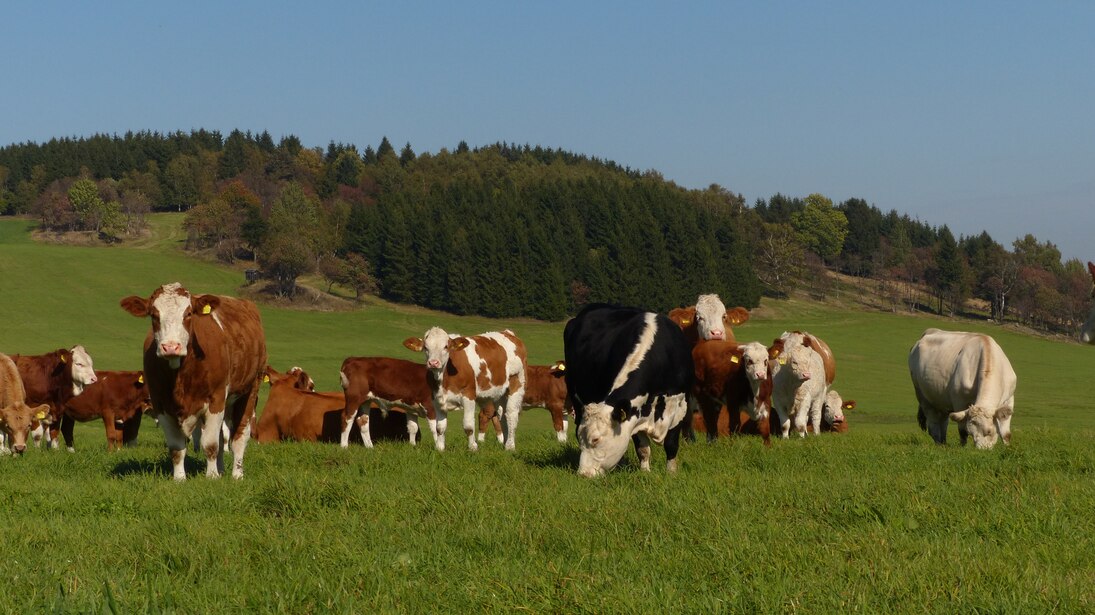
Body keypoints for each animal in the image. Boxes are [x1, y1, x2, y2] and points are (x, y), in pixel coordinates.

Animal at [119, 282, 267, 479]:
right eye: (154, 314)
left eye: (188, 313)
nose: (170, 347)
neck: (180, 375)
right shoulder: (160, 403)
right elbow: (176, 447)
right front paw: (180, 478)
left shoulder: (216, 398)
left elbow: (210, 444)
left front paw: (211, 477)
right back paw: (221, 470)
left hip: (250, 390)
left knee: (239, 437)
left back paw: (237, 474)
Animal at [565, 304, 692, 477]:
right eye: (580, 438)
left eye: (596, 439)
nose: (584, 474)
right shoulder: (635, 412)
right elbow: (643, 448)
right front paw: (645, 473)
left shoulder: (680, 406)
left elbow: (671, 444)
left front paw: (671, 473)